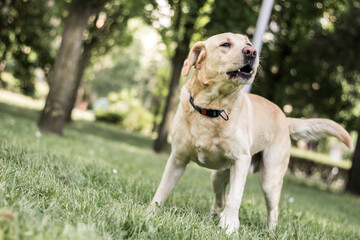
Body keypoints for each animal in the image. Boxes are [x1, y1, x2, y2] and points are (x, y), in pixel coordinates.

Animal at [151, 31, 352, 234]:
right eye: (225, 44)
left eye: (248, 43)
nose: (252, 51)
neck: (211, 109)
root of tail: (284, 116)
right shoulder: (177, 159)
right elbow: (162, 189)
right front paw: (152, 212)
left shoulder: (241, 160)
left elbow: (235, 198)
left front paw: (230, 226)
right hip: (217, 175)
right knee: (219, 200)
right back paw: (212, 217)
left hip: (269, 180)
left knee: (273, 210)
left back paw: (269, 232)